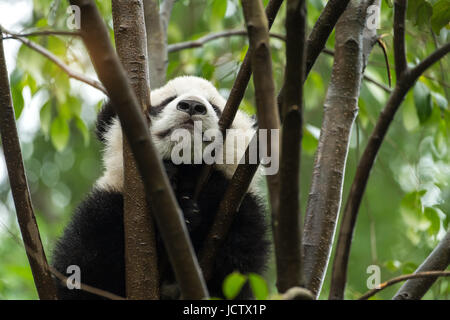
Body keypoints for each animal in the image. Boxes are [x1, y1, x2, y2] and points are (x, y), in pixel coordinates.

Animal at [52, 75, 270, 300]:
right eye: (167, 101)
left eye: (217, 108)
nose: (192, 105)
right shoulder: (106, 206)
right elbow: (86, 271)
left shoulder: (241, 211)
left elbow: (233, 270)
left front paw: (192, 208)